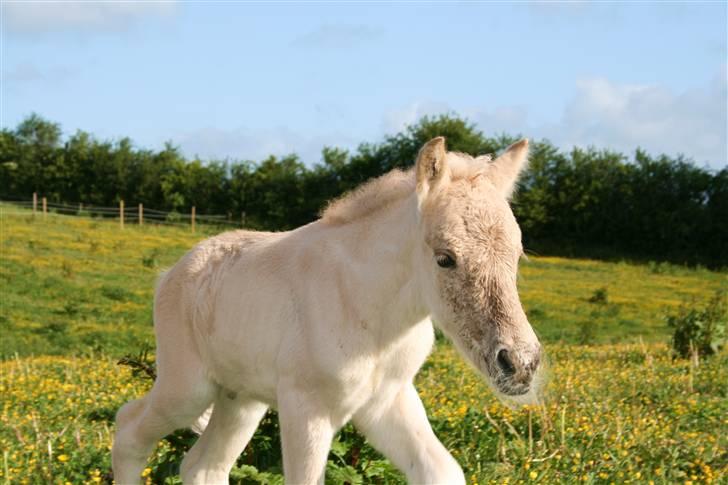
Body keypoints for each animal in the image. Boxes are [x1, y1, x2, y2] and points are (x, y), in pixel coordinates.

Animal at [112, 137, 540, 484]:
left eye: (518, 254)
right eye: (445, 258)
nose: (520, 364)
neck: (370, 310)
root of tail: (171, 274)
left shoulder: (387, 400)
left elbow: (442, 471)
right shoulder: (307, 408)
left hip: (241, 399)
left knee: (203, 466)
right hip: (187, 388)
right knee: (129, 432)